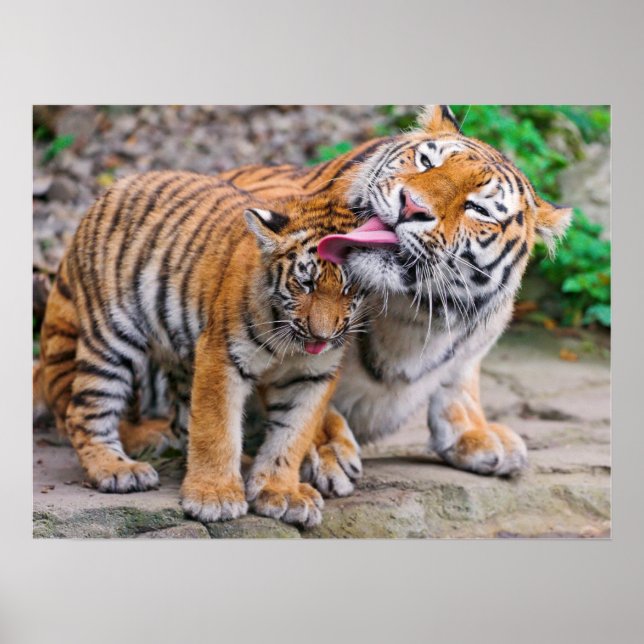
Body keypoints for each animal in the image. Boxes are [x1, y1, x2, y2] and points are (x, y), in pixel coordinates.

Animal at [38, 171, 366, 527]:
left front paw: (281, 492)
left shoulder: (312, 376)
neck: (290, 342)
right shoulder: (223, 355)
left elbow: (292, 435)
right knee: (83, 411)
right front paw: (215, 496)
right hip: (111, 339)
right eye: (305, 284)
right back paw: (117, 469)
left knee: (182, 423)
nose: (322, 335)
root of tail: (114, 187)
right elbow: (216, 428)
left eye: (350, 288)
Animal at [212, 104, 573, 482]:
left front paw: (477, 432)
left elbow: (460, 379)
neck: (412, 312)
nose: (411, 206)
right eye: (427, 162)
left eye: (478, 209)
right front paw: (325, 449)